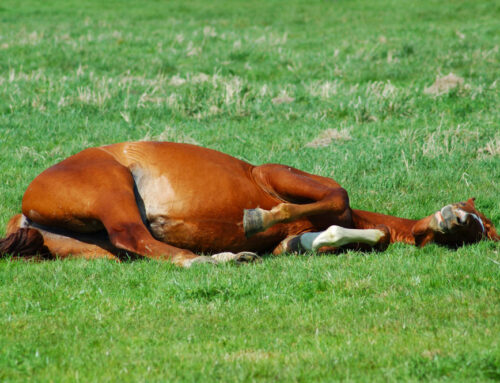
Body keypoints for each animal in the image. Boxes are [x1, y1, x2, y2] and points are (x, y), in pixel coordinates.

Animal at [0, 142, 498, 268]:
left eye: (482, 228)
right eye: (470, 213)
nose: (456, 219)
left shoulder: (292, 242)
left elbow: (348, 234)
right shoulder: (274, 174)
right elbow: (338, 194)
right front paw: (260, 217)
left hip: (91, 246)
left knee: (134, 248)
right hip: (113, 186)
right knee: (135, 235)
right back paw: (214, 259)